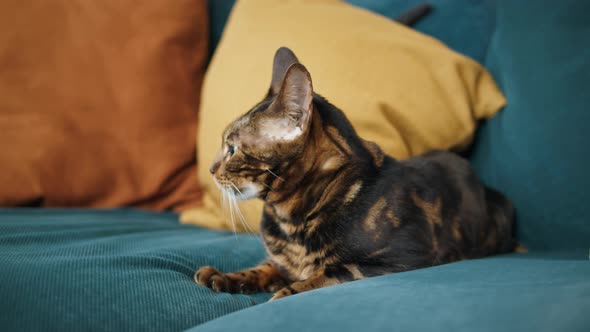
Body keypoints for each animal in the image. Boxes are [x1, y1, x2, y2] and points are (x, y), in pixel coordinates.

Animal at [195, 47, 520, 304]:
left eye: (232, 148)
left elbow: (330, 272)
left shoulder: (401, 258)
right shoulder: (282, 261)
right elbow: (266, 266)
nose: (210, 168)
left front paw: (284, 293)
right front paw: (225, 276)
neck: (291, 220)